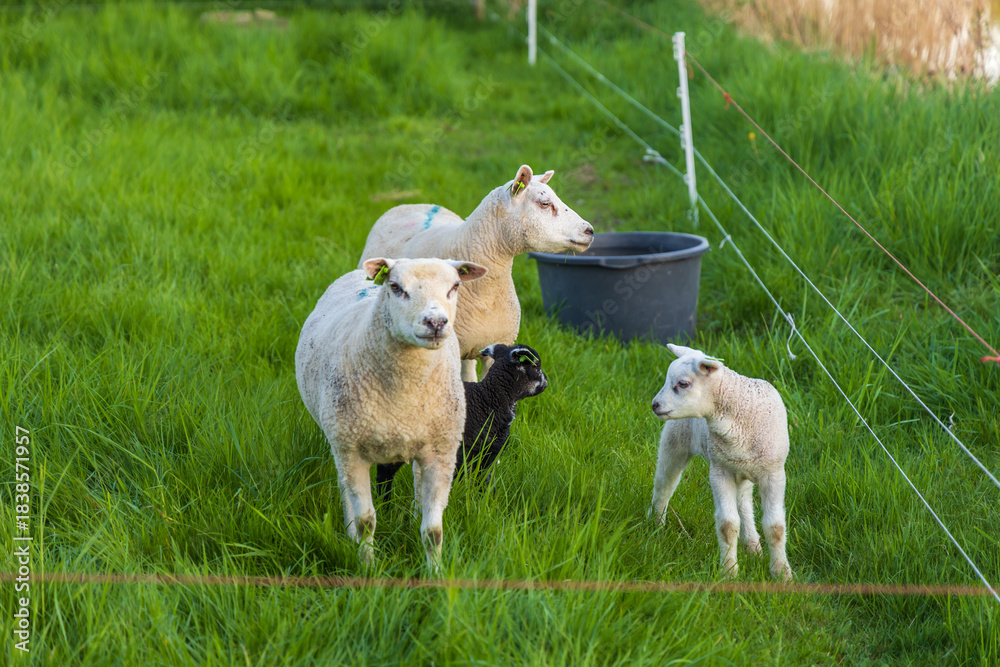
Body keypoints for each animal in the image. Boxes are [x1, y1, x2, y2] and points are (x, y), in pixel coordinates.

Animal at [295, 256, 487, 567]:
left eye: (455, 286)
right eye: (396, 287)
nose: (435, 322)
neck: (403, 395)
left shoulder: (443, 453)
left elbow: (433, 530)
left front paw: (435, 571)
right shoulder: (352, 450)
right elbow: (366, 521)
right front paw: (368, 565)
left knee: (417, 484)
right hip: (341, 442)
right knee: (345, 490)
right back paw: (350, 533)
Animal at [374, 343, 548, 499]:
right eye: (537, 368)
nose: (546, 382)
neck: (489, 399)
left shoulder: (489, 454)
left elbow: (484, 482)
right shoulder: (463, 452)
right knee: (384, 474)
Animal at [649, 344, 793, 582]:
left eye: (683, 383)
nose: (655, 405)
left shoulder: (773, 473)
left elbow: (775, 528)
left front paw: (782, 574)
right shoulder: (720, 472)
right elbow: (727, 525)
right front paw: (729, 572)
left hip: (740, 468)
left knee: (744, 501)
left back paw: (752, 545)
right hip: (675, 442)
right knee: (663, 487)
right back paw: (655, 527)